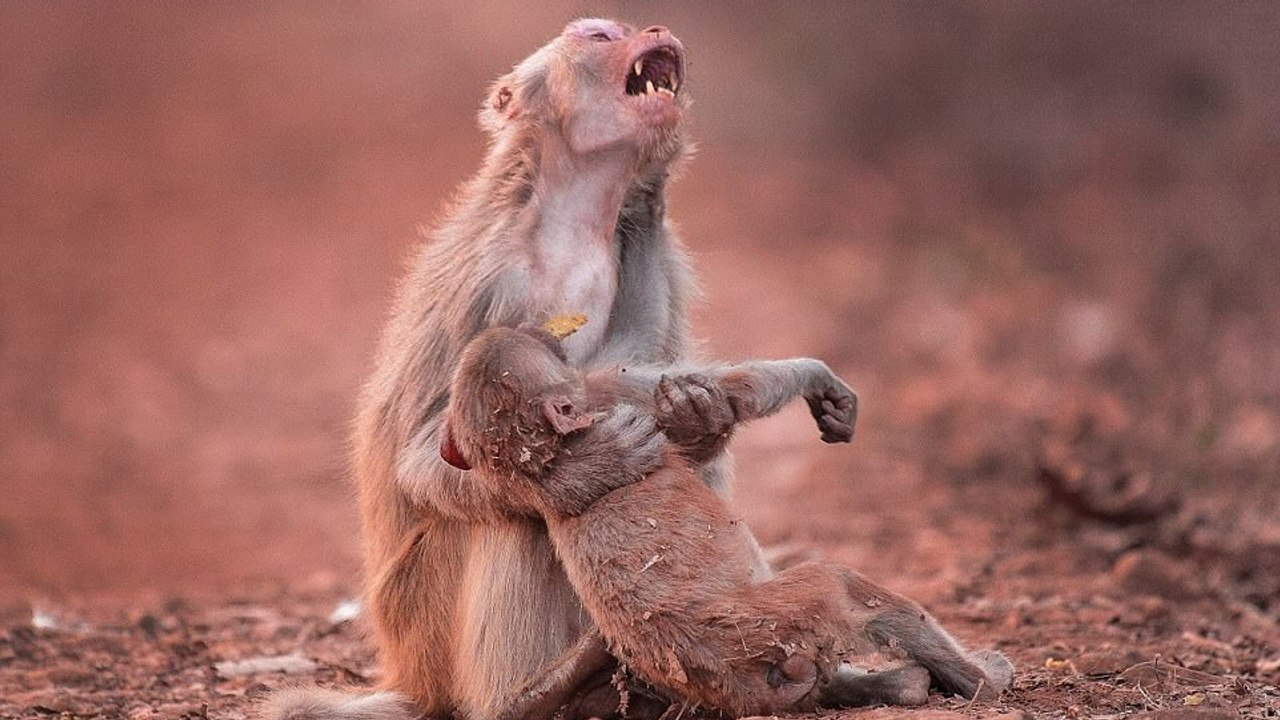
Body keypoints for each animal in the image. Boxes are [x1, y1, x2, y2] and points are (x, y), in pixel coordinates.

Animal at [259, 18, 763, 720]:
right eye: (599, 35)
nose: (654, 29)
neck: (573, 219)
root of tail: (407, 673)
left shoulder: (654, 254)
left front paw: (699, 413)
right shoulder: (491, 284)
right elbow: (428, 456)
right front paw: (584, 475)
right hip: (426, 619)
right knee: (513, 517)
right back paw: (533, 694)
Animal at [438, 325, 1014, 718]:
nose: (540, 328)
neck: (545, 458)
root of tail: (736, 678)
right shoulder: (609, 399)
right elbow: (741, 391)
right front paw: (816, 376)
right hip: (777, 620)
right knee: (839, 584)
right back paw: (982, 680)